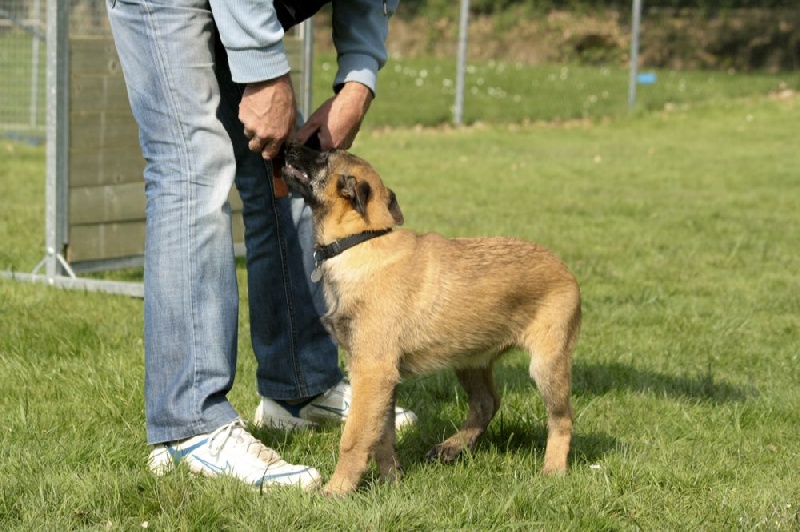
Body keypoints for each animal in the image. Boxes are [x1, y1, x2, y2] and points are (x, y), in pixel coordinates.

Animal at [281, 145, 581, 496]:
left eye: (323, 156)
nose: (288, 146)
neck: (361, 240)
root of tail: (564, 268)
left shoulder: (371, 371)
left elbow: (355, 437)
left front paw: (337, 489)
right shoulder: (384, 377)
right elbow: (382, 434)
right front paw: (392, 480)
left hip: (547, 365)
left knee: (562, 419)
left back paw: (553, 470)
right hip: (470, 359)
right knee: (487, 403)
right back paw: (452, 447)